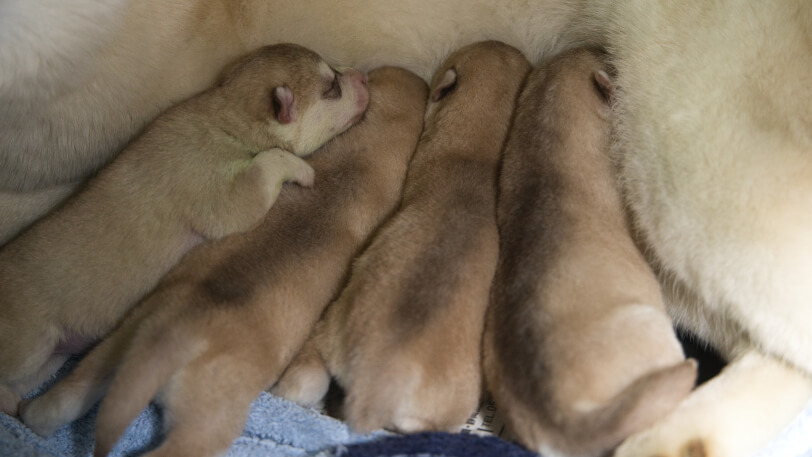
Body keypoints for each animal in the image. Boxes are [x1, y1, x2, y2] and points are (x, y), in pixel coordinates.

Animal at [0, 41, 368, 414]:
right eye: (332, 88)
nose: (363, 76)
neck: (229, 115)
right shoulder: (224, 198)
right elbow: (270, 162)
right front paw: (302, 170)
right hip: (27, 346)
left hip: (49, 358)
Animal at [17, 65, 426, 457]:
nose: (360, 74)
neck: (366, 149)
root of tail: (168, 339)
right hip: (208, 420)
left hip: (112, 347)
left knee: (57, 405)